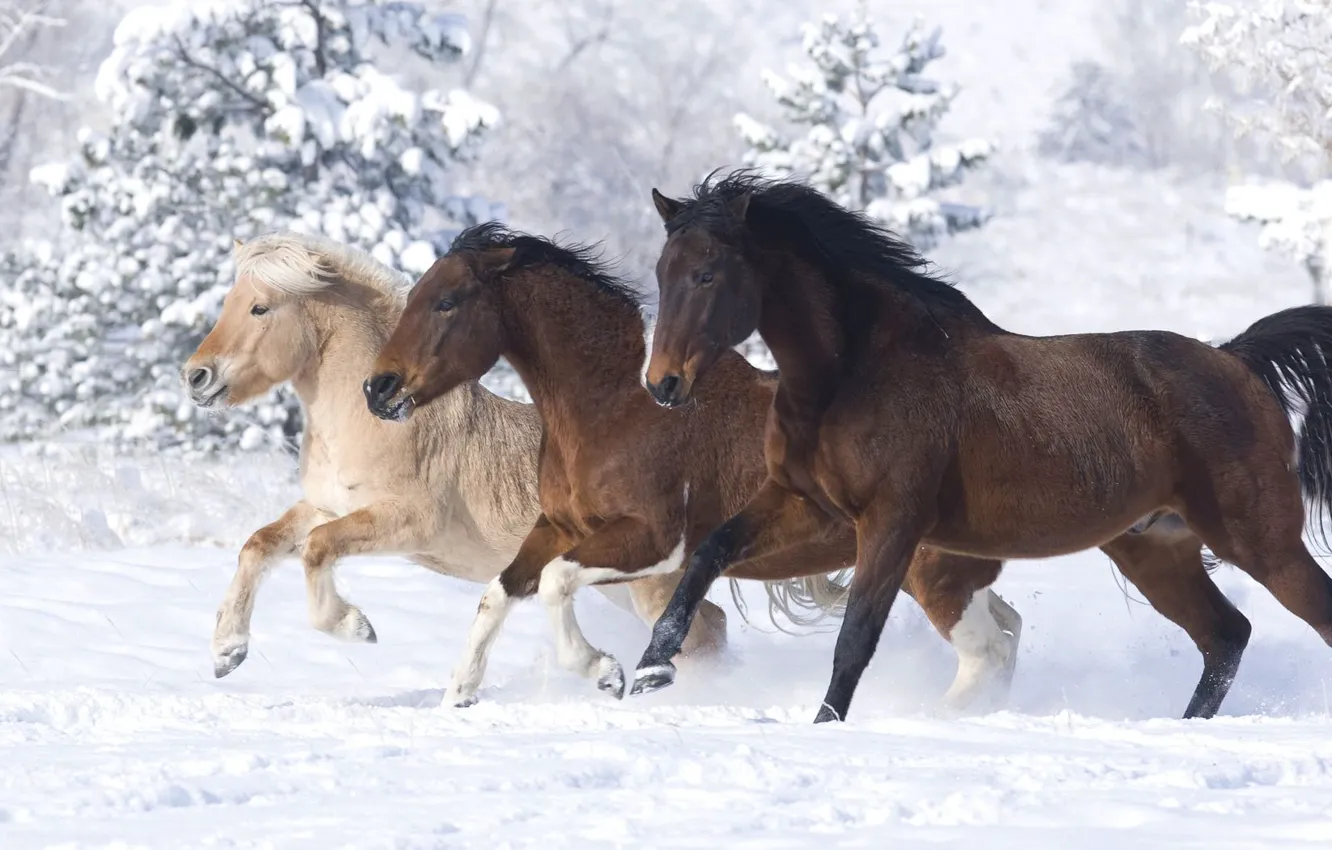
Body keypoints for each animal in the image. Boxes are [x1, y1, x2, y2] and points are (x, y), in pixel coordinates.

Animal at [181, 231, 739, 683]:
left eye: (260, 308)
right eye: (230, 302)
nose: (196, 377)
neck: (373, 422)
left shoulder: (408, 521)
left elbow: (316, 549)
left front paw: (356, 627)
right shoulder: (326, 506)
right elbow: (258, 545)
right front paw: (227, 652)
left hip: (645, 583)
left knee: (703, 632)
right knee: (711, 624)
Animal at [365, 221, 1026, 709]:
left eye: (446, 302)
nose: (378, 388)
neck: (614, 406)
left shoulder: (654, 541)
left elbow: (554, 584)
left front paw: (607, 672)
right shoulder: (557, 527)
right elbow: (498, 594)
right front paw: (459, 693)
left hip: (929, 572)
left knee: (988, 651)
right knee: (1007, 630)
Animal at [633, 170, 1332, 723]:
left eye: (706, 273)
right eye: (663, 273)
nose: (662, 384)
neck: (854, 371)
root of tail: (1236, 360)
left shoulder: (892, 521)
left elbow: (855, 638)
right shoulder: (802, 503)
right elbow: (707, 555)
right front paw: (649, 672)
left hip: (1257, 539)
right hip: (1156, 548)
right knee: (1225, 637)